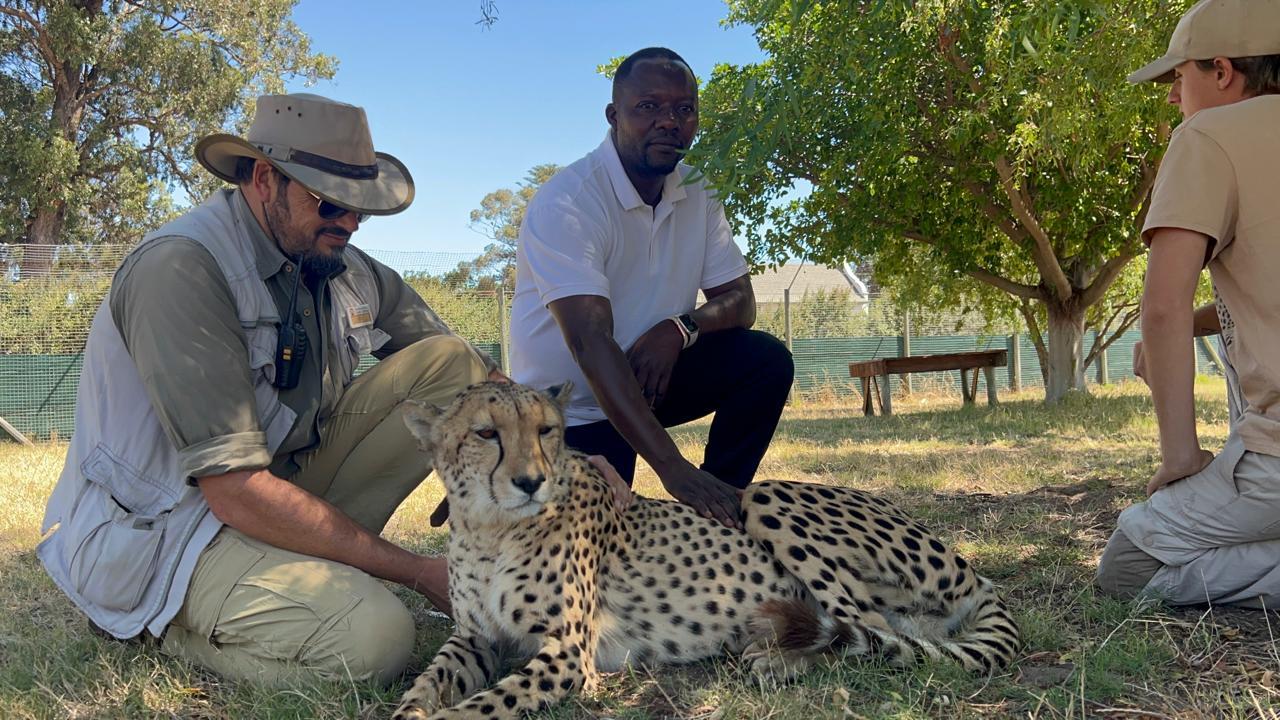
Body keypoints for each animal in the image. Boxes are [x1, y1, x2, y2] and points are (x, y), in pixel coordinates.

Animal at [393, 381, 1019, 720]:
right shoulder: (475, 638)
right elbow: (425, 687)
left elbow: (478, 707)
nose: (531, 482)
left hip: (765, 496)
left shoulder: (570, 656)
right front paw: (411, 705)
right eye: (485, 433)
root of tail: (974, 575)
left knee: (870, 631)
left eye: (546, 430)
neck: (492, 529)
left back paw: (776, 660)